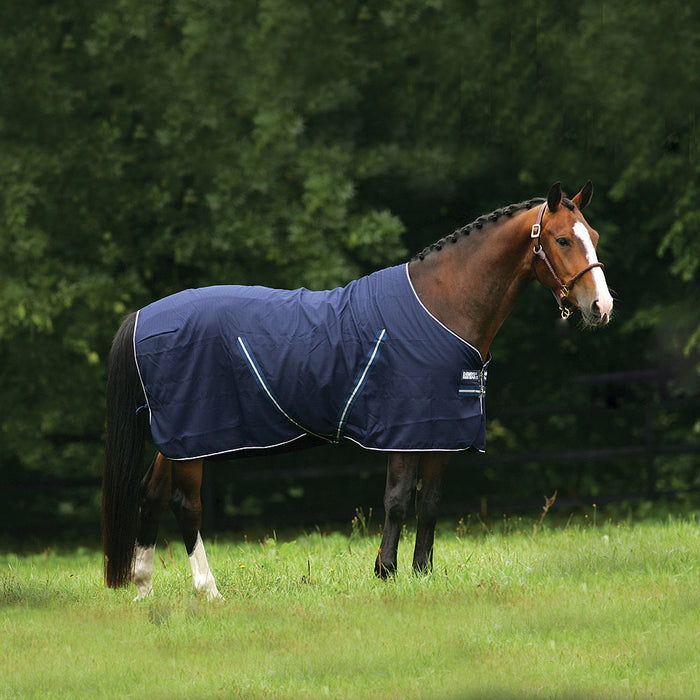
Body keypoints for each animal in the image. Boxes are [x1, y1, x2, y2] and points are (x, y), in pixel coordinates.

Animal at [102, 181, 613, 600]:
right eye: (562, 239)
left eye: (594, 236)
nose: (601, 306)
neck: (442, 307)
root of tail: (144, 316)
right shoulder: (407, 429)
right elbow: (397, 500)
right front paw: (385, 572)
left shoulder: (441, 431)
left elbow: (429, 503)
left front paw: (422, 574)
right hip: (195, 438)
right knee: (185, 504)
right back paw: (209, 591)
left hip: (175, 439)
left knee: (150, 494)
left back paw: (143, 587)